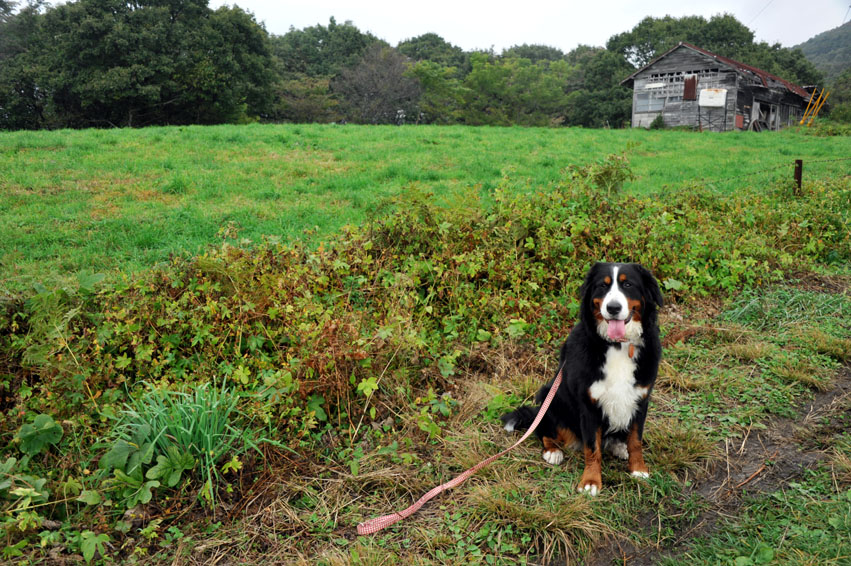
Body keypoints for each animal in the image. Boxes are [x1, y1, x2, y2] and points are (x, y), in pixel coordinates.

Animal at [502, 262, 664, 496]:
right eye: (602, 286)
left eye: (628, 284)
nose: (613, 308)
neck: (617, 346)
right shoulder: (589, 405)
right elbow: (592, 447)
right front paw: (591, 481)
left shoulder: (641, 399)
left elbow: (635, 440)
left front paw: (638, 469)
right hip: (550, 397)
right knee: (542, 428)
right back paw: (552, 451)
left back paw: (619, 447)